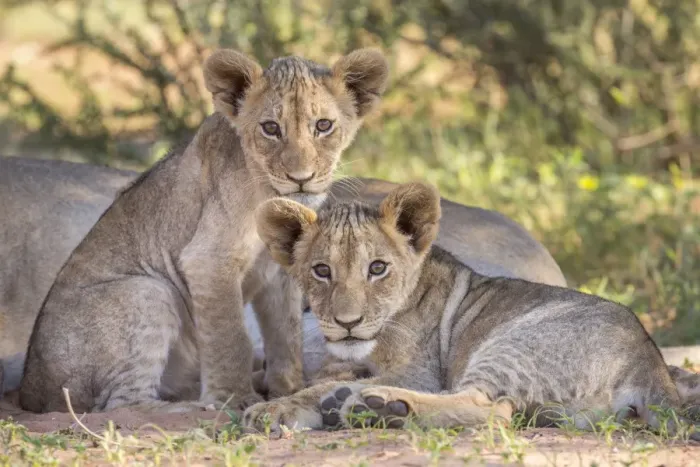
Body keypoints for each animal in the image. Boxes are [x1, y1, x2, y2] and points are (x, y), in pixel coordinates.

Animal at [17, 47, 390, 413]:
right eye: (270, 128)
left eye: (323, 126)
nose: (302, 178)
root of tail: (30, 391)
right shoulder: (208, 260)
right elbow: (231, 336)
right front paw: (234, 399)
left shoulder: (280, 271)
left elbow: (286, 333)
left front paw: (287, 388)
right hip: (147, 290)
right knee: (122, 405)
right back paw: (190, 408)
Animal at [243, 182, 700, 439]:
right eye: (321, 271)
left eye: (377, 268)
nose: (347, 323)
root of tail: (648, 362)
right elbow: (321, 377)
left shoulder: (422, 372)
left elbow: (320, 385)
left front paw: (273, 409)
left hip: (511, 344)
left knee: (490, 409)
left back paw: (372, 406)